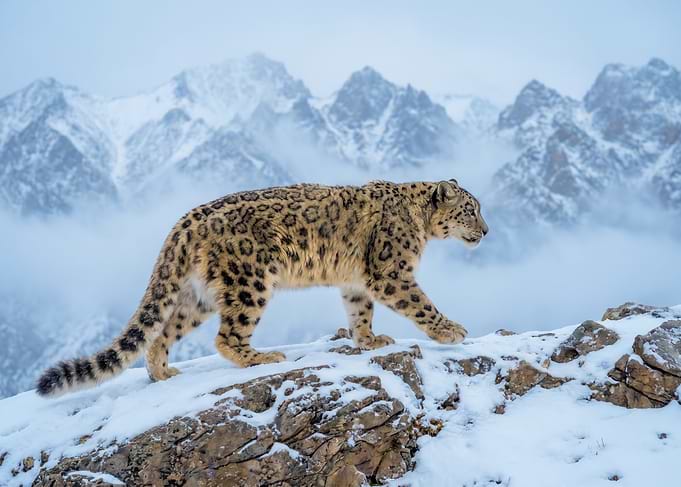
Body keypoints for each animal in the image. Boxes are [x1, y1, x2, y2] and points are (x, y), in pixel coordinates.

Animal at [36, 179, 488, 396]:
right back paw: (263, 356)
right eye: (470, 210)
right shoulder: (390, 271)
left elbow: (360, 311)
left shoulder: (356, 281)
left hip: (197, 296)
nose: (486, 231)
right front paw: (451, 331)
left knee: (163, 331)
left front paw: (369, 340)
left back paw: (163, 372)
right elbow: (420, 302)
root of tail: (184, 221)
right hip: (249, 280)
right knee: (227, 335)